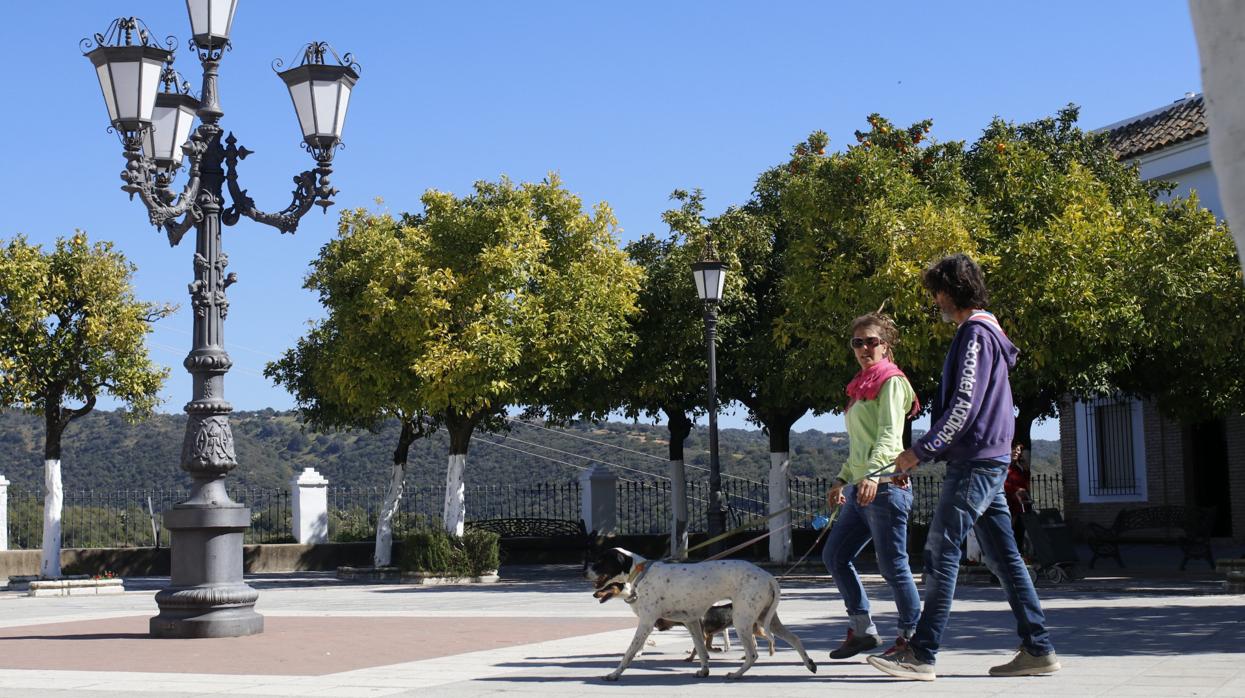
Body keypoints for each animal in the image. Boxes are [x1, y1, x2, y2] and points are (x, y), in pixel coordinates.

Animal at [585, 547, 816, 676]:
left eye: (601, 560)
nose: (584, 570)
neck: (641, 574)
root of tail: (768, 577)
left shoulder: (646, 623)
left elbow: (630, 652)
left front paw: (614, 674)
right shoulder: (692, 622)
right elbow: (702, 650)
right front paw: (704, 670)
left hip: (743, 621)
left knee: (753, 654)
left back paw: (736, 675)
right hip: (766, 619)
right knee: (795, 638)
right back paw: (810, 663)